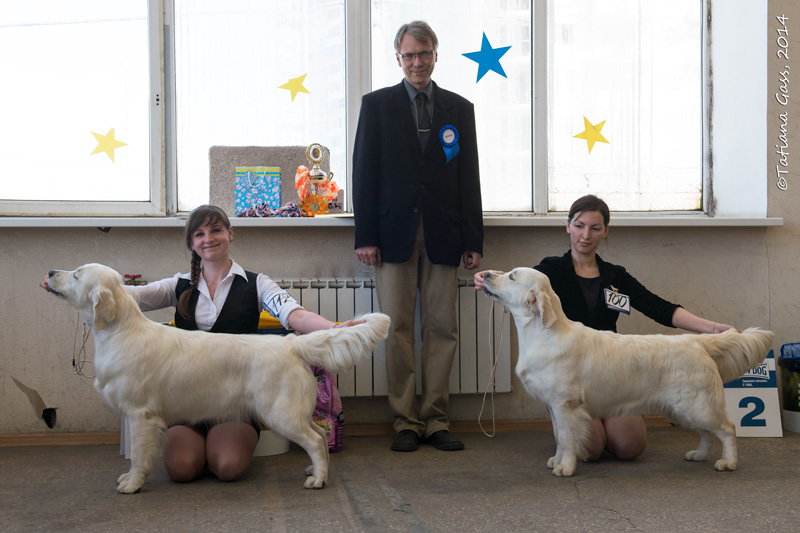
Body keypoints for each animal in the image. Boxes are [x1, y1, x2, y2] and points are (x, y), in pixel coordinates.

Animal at [45, 263, 390, 493]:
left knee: (316, 440)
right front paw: (129, 479)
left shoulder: (140, 415)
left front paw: (132, 483)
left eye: (76, 274)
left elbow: (139, 457)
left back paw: (317, 479)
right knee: (319, 433)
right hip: (292, 412)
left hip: (280, 414)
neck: (121, 331)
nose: (49, 273)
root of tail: (291, 343)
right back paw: (317, 470)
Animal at [481, 267, 773, 477]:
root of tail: (697, 341)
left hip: (696, 405)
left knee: (727, 428)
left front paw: (566, 467)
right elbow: (558, 437)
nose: (484, 275)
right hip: (683, 408)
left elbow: (566, 437)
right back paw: (699, 454)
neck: (543, 334)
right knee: (706, 433)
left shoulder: (566, 405)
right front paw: (557, 459)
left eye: (511, 276)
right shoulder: (554, 407)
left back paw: (729, 462)